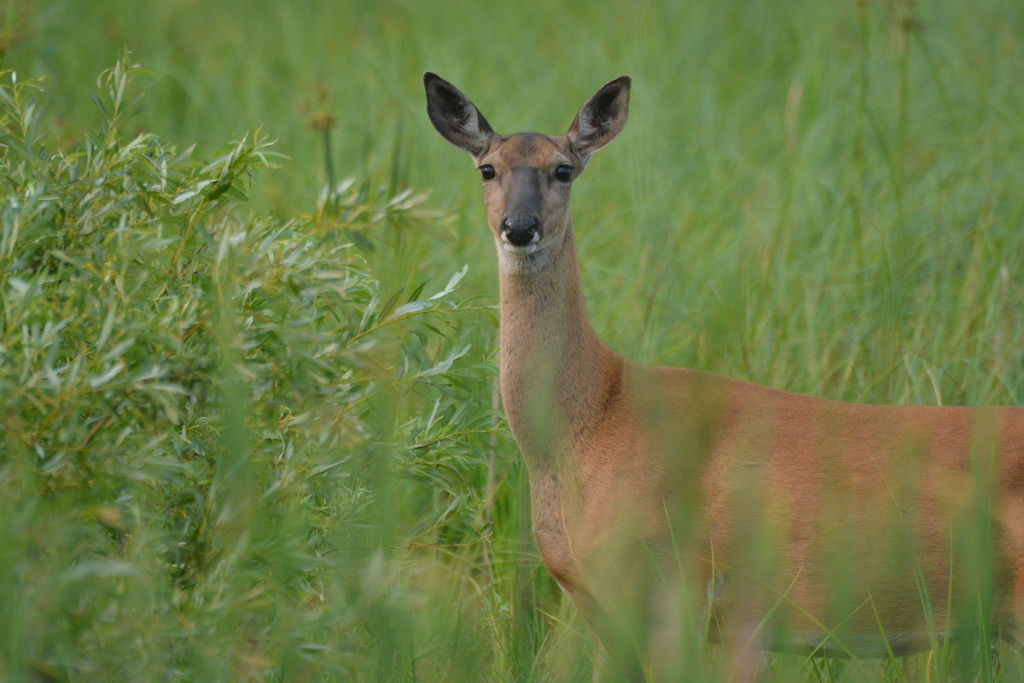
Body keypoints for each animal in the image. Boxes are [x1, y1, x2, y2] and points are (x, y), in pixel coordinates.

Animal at [423, 72, 1024, 682]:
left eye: (563, 169)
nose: (520, 227)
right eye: (487, 169)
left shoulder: (674, 589)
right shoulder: (609, 606)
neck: (593, 420)